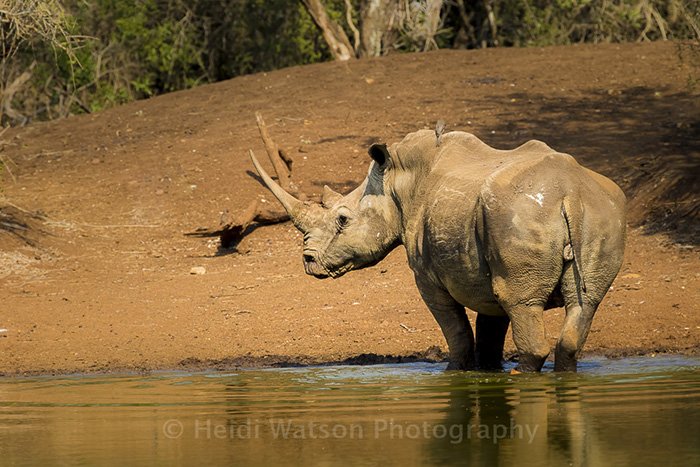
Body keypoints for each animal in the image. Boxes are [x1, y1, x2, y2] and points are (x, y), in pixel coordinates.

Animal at [250, 129, 626, 372]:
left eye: (342, 220)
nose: (308, 261)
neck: (396, 182)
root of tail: (569, 193)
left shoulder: (428, 277)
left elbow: (457, 332)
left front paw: (454, 373)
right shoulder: (486, 272)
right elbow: (489, 332)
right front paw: (488, 373)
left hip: (516, 215)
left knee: (524, 304)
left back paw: (523, 375)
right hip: (600, 211)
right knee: (584, 303)